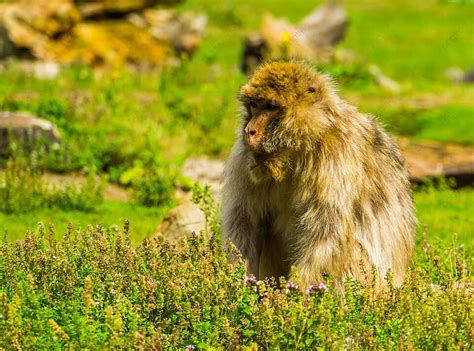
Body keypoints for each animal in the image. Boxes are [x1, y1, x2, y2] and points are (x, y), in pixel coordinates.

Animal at [220, 60, 416, 292]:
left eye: (270, 106)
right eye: (254, 106)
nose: (249, 130)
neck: (297, 150)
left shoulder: (336, 156)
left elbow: (325, 234)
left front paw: (295, 296)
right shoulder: (244, 158)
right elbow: (245, 223)